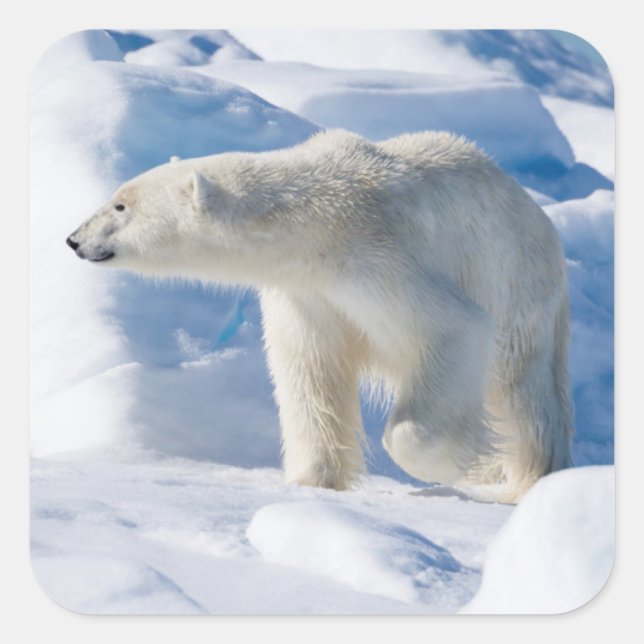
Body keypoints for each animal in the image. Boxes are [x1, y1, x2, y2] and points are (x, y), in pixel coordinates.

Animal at [66, 129, 574, 502]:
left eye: (121, 205)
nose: (74, 239)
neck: (312, 220)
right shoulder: (307, 295)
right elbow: (310, 372)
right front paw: (312, 481)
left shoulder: (376, 259)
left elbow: (454, 327)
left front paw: (461, 464)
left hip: (515, 282)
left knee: (522, 394)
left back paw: (523, 476)